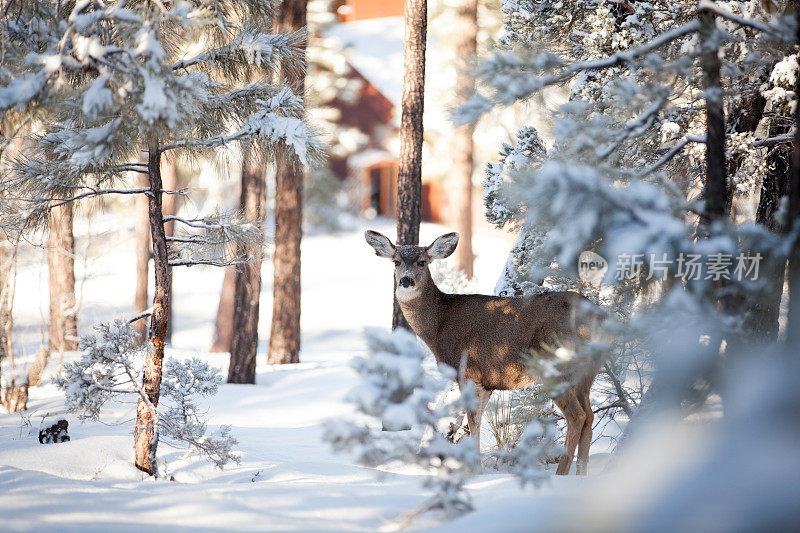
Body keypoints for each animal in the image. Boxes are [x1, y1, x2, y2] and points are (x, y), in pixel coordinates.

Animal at [366, 229, 604, 474]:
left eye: (422, 262)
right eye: (396, 262)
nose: (406, 280)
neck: (440, 326)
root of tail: (599, 318)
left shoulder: (468, 371)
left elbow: (472, 422)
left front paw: (476, 471)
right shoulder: (488, 381)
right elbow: (476, 421)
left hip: (558, 367)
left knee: (576, 416)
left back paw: (561, 474)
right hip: (588, 373)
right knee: (589, 416)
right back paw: (581, 475)